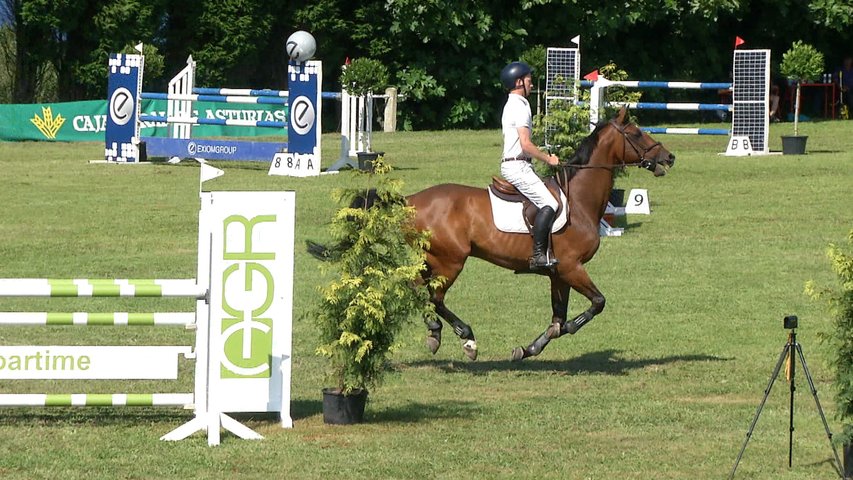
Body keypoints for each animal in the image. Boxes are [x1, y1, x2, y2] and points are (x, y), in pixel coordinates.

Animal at [402, 108, 676, 360]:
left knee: (416, 287)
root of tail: (412, 200)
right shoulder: (571, 267)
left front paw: (527, 349)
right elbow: (597, 303)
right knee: (434, 297)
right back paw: (465, 338)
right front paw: (570, 327)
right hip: (450, 262)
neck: (578, 200)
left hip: (431, 259)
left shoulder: (559, 273)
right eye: (636, 133)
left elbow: (557, 320)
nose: (669, 157)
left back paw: (437, 332)